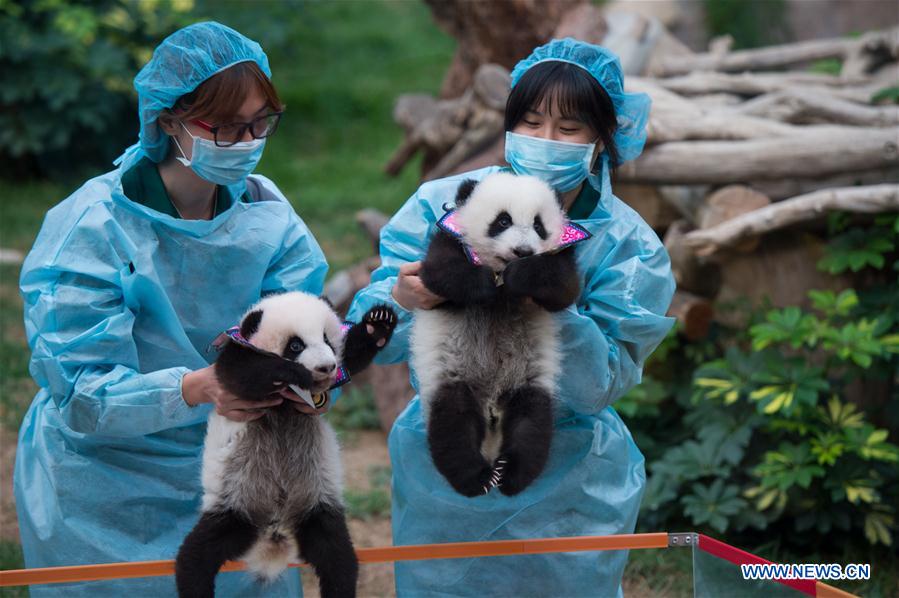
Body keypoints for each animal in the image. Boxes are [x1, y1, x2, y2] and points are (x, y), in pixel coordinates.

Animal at [175, 292, 396, 598]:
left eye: (327, 339)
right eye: (295, 345)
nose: (327, 367)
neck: (285, 405)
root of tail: (275, 527)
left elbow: (352, 357)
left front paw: (378, 324)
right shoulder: (236, 358)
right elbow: (242, 375)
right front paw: (295, 373)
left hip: (316, 503)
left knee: (337, 556)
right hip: (233, 503)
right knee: (196, 557)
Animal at [411, 172, 589, 498]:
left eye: (538, 225)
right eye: (503, 221)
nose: (522, 252)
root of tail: (492, 410)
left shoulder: (562, 255)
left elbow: (563, 285)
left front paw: (521, 274)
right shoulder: (449, 239)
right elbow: (441, 273)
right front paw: (483, 283)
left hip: (529, 382)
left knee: (531, 424)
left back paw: (510, 474)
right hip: (454, 377)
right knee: (453, 425)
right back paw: (476, 477)